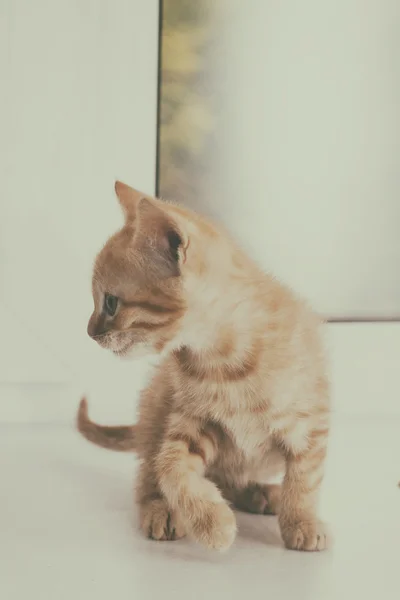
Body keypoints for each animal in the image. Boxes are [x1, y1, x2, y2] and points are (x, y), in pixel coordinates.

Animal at [76, 183, 330, 552]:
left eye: (110, 302)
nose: (89, 332)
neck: (225, 362)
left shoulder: (310, 423)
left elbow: (305, 479)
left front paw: (302, 520)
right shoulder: (190, 421)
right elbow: (169, 465)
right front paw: (212, 522)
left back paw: (259, 493)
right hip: (156, 405)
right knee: (148, 473)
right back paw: (161, 509)